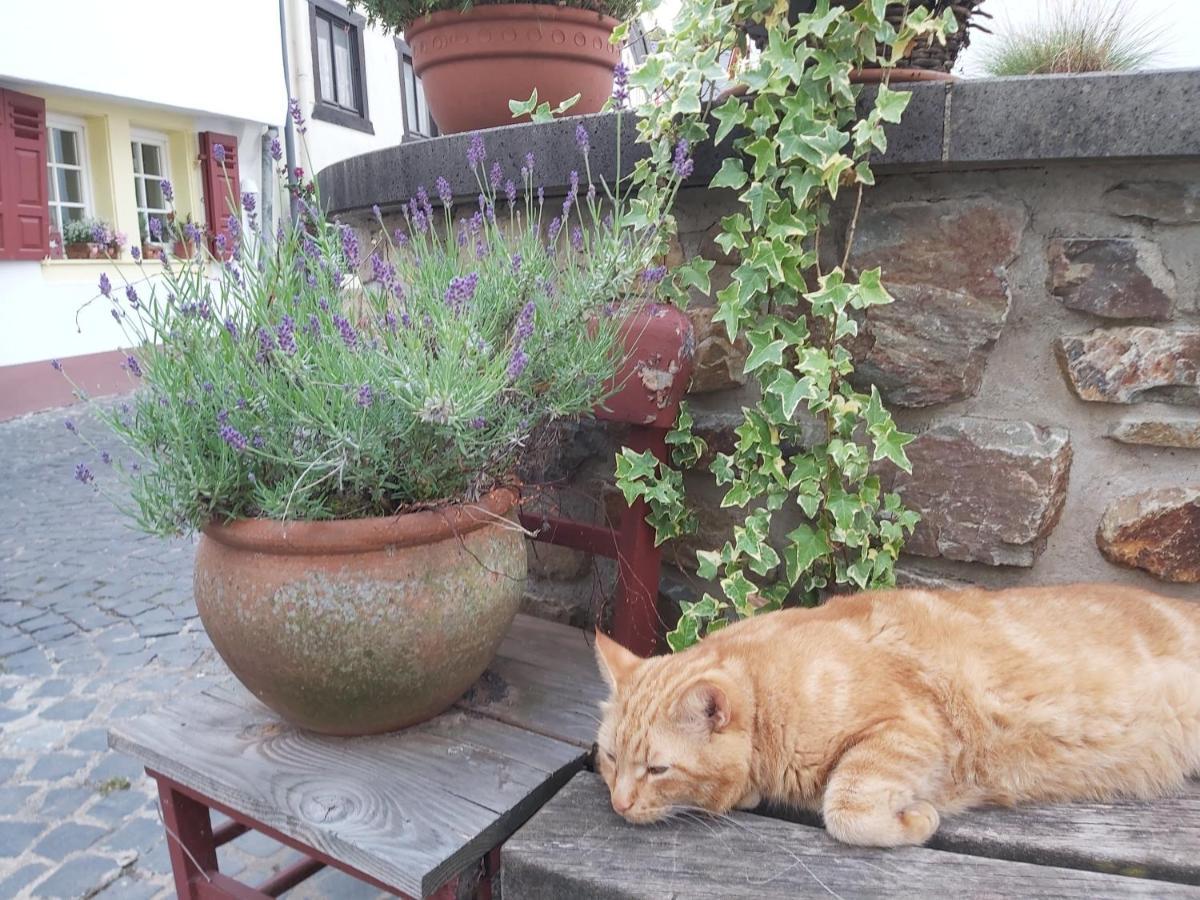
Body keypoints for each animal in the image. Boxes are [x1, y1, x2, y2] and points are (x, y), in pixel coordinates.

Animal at [597, 585, 1200, 844]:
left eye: (657, 769)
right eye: (608, 759)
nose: (619, 804)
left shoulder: (910, 731)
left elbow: (844, 807)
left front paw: (915, 820)